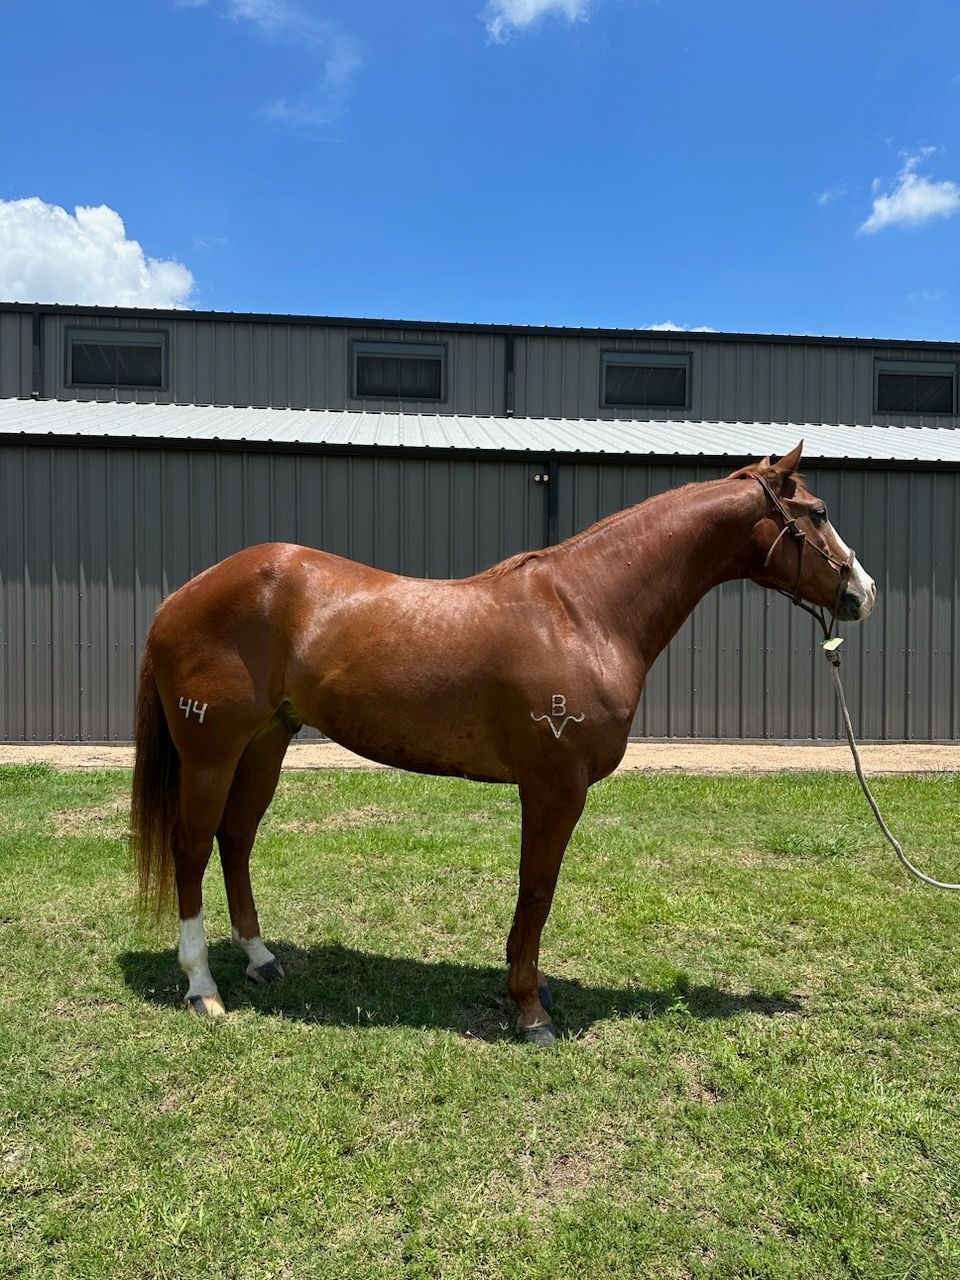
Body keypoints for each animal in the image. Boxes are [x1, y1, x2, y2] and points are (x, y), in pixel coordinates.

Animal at [131, 442, 876, 1043]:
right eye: (816, 511)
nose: (862, 591)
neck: (584, 612)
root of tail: (179, 599)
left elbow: (532, 890)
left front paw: (527, 988)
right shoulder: (555, 787)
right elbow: (537, 887)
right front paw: (530, 1011)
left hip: (266, 743)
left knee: (236, 840)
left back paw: (261, 960)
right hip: (211, 752)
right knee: (193, 849)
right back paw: (203, 988)